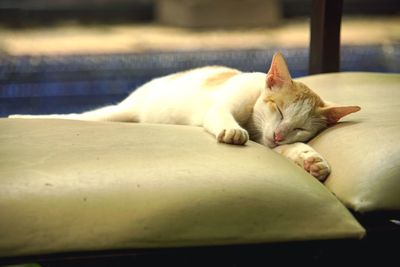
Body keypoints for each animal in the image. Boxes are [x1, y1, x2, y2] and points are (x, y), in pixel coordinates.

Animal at [9, 51, 360, 182]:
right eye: (279, 109)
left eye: (300, 128)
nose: (277, 134)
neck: (255, 122)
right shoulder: (222, 105)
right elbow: (222, 115)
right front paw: (234, 132)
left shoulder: (271, 141)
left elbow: (285, 149)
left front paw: (309, 158)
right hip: (123, 109)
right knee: (84, 116)